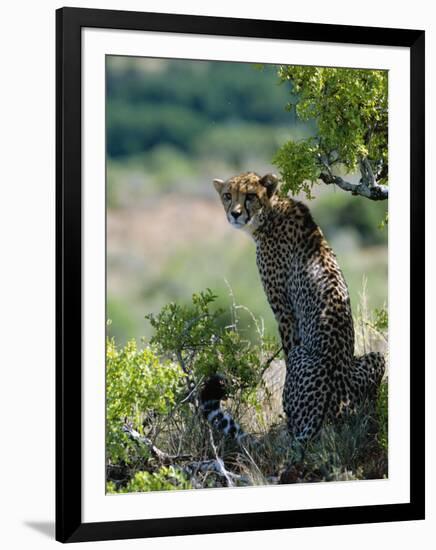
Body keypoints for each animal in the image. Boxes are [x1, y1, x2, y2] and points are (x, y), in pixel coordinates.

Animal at [211, 172, 384, 448]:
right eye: (228, 195)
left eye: (250, 196)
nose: (235, 214)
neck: (270, 213)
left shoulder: (285, 312)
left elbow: (287, 346)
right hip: (376, 358)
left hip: (302, 357)